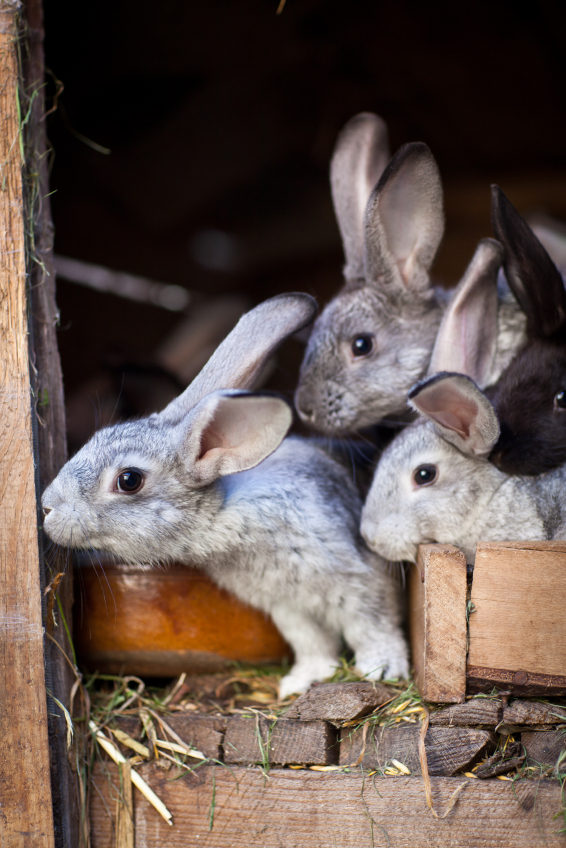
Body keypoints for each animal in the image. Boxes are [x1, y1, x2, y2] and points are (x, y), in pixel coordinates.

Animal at [42, 293, 409, 699]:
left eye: (129, 480)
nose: (47, 506)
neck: (222, 513)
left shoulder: (359, 580)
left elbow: (372, 626)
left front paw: (382, 668)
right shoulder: (289, 609)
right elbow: (313, 644)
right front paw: (300, 682)